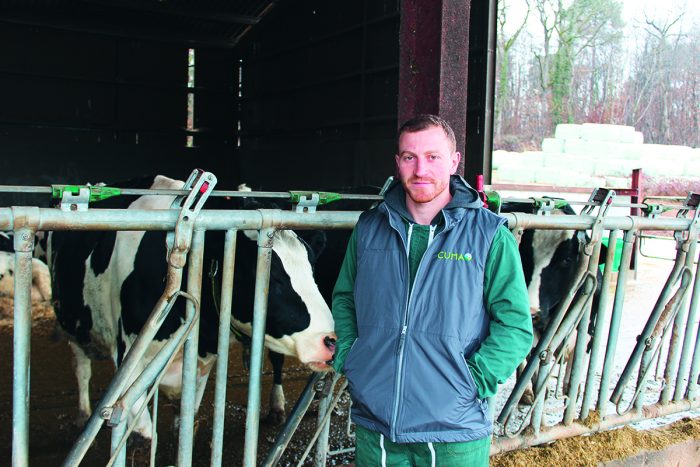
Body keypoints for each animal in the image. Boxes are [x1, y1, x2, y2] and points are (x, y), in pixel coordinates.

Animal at [49, 175, 336, 438]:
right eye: (267, 274)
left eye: (312, 267)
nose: (330, 341)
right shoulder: (128, 355)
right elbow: (141, 433)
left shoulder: (200, 366)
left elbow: (185, 423)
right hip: (72, 323)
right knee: (81, 366)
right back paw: (83, 414)